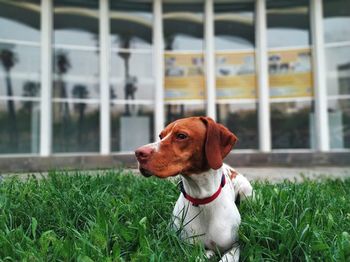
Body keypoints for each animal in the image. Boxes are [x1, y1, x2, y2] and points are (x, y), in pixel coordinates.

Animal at [134, 117, 252, 262]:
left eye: (181, 136)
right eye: (161, 136)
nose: (139, 153)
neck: (202, 199)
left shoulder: (235, 245)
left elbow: (228, 257)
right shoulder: (183, 246)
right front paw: (208, 254)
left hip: (247, 193)